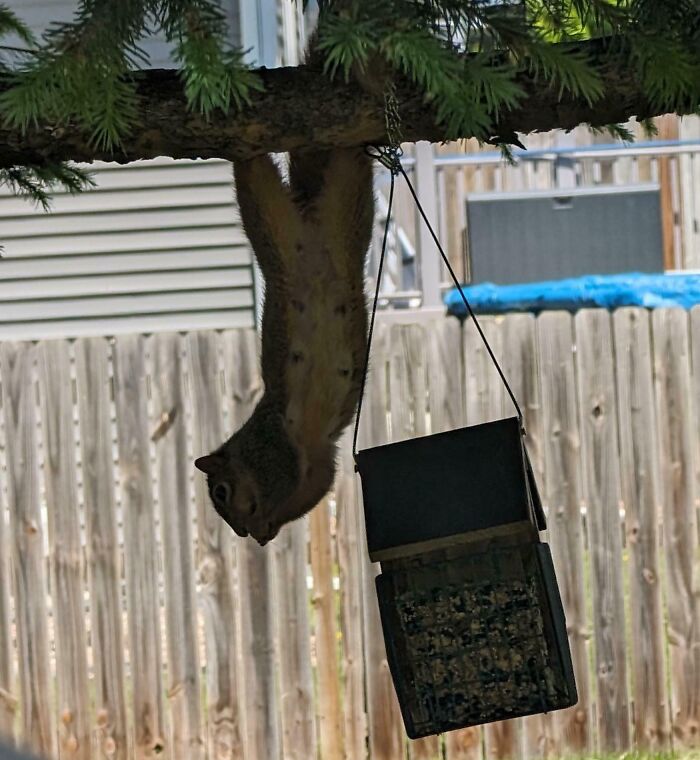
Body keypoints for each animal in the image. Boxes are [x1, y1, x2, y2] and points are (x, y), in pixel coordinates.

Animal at [194, 144, 374, 545]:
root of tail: (309, 217)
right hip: (348, 204)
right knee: (349, 160)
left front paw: (263, 523)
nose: (242, 532)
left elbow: (284, 481)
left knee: (253, 171)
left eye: (221, 492)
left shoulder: (274, 448)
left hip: (266, 214)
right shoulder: (320, 462)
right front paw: (268, 530)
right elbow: (313, 490)